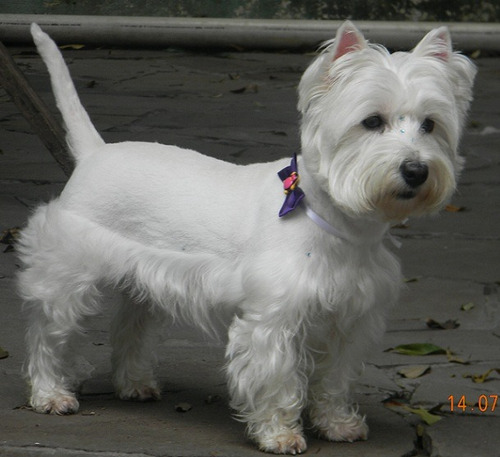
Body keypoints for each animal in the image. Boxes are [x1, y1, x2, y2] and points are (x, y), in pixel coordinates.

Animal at [18, 22, 472, 452]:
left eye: (430, 125)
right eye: (372, 121)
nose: (416, 171)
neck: (340, 223)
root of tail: (94, 153)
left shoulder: (350, 318)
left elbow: (334, 378)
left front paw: (337, 424)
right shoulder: (273, 319)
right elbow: (277, 378)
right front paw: (280, 435)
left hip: (142, 279)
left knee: (131, 326)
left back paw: (135, 384)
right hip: (67, 274)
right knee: (49, 333)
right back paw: (51, 395)